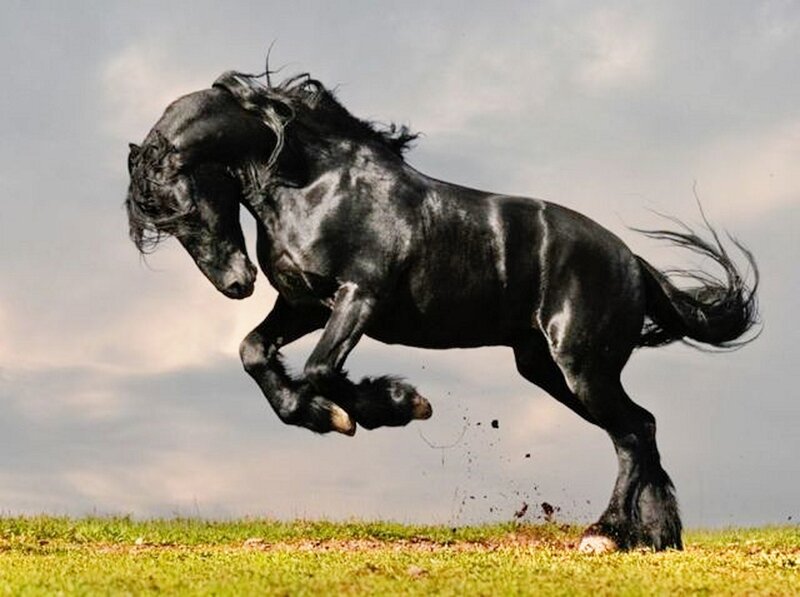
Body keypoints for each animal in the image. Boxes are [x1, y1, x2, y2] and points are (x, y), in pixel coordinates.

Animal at [125, 69, 759, 552]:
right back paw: (655, 537)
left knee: (631, 432)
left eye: (184, 208)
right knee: (641, 427)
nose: (236, 284)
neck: (316, 184)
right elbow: (255, 353)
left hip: (582, 367)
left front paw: (393, 405)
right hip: (548, 369)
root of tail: (632, 262)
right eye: (163, 222)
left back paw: (605, 534)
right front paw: (325, 415)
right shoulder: (303, 303)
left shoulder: (359, 298)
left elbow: (321, 369)